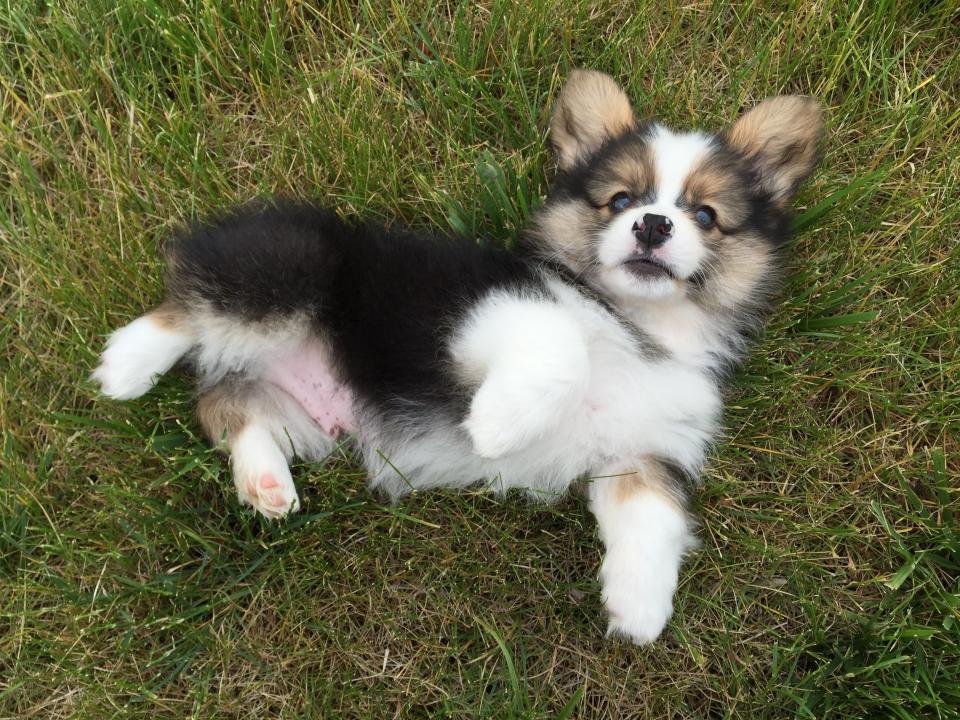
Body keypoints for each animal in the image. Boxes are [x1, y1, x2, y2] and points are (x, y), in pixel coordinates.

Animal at [94, 70, 820, 644]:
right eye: (620, 200)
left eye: (705, 214)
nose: (653, 224)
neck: (640, 325)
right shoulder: (492, 310)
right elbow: (559, 345)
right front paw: (496, 427)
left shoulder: (645, 450)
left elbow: (654, 518)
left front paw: (639, 610)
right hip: (290, 267)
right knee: (190, 303)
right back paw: (125, 365)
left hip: (298, 415)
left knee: (226, 406)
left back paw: (265, 481)